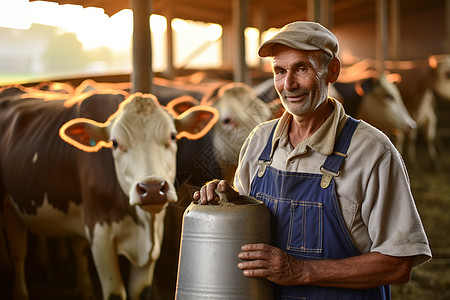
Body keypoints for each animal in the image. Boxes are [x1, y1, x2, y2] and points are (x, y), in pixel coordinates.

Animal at [0, 87, 218, 300]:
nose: (152, 189)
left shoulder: (154, 240)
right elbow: (115, 293)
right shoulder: (100, 236)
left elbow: (141, 291)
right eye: (114, 143)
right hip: (9, 207)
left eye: (173, 136)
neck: (143, 223)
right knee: (18, 253)